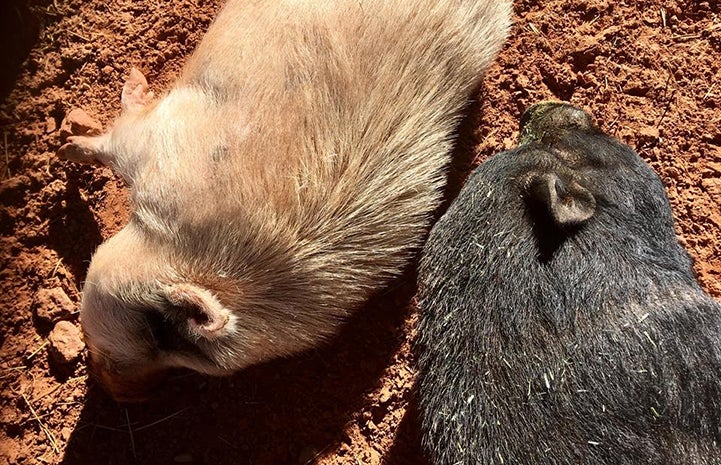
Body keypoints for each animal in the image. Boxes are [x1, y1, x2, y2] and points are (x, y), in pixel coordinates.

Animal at [59, 0, 516, 398]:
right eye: (160, 334)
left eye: (172, 351)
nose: (122, 395)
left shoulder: (161, 139)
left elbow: (118, 137)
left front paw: (67, 147)